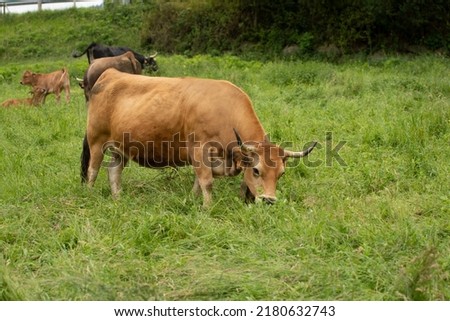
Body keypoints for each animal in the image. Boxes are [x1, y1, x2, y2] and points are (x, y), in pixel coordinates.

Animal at [80, 69, 312, 206]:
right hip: (97, 141)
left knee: (113, 171)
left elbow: (198, 182)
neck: (225, 111)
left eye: (281, 173)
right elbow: (206, 182)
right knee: (93, 170)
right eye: (256, 170)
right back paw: (90, 195)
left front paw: (192, 200)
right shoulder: (200, 150)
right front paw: (208, 208)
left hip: (121, 148)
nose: (269, 200)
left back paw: (117, 197)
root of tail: (110, 73)